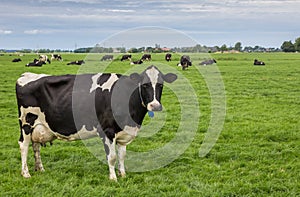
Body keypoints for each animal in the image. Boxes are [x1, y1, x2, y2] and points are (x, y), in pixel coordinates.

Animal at [15, 65, 176, 181]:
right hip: (26, 123)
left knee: (36, 146)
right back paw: (26, 173)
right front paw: (113, 178)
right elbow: (112, 157)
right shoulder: (107, 131)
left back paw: (40, 169)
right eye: (144, 85)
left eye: (161, 85)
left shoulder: (123, 133)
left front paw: (123, 174)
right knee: (24, 145)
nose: (155, 106)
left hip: (38, 127)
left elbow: (122, 156)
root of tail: (27, 75)